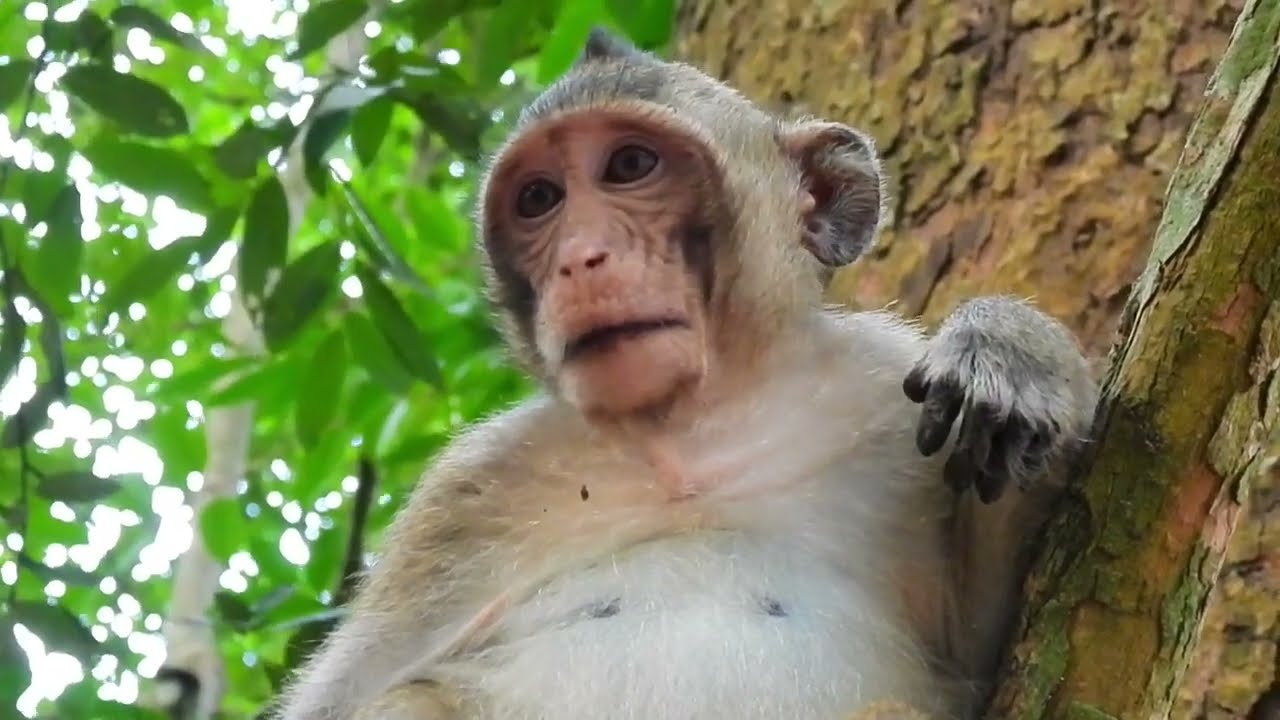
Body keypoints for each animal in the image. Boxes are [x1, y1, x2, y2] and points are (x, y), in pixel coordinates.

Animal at [270, 28, 1098, 720]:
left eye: (630, 165)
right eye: (539, 199)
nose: (581, 258)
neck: (690, 439)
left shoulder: (881, 390)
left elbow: (995, 648)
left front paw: (1014, 350)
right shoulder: (463, 502)